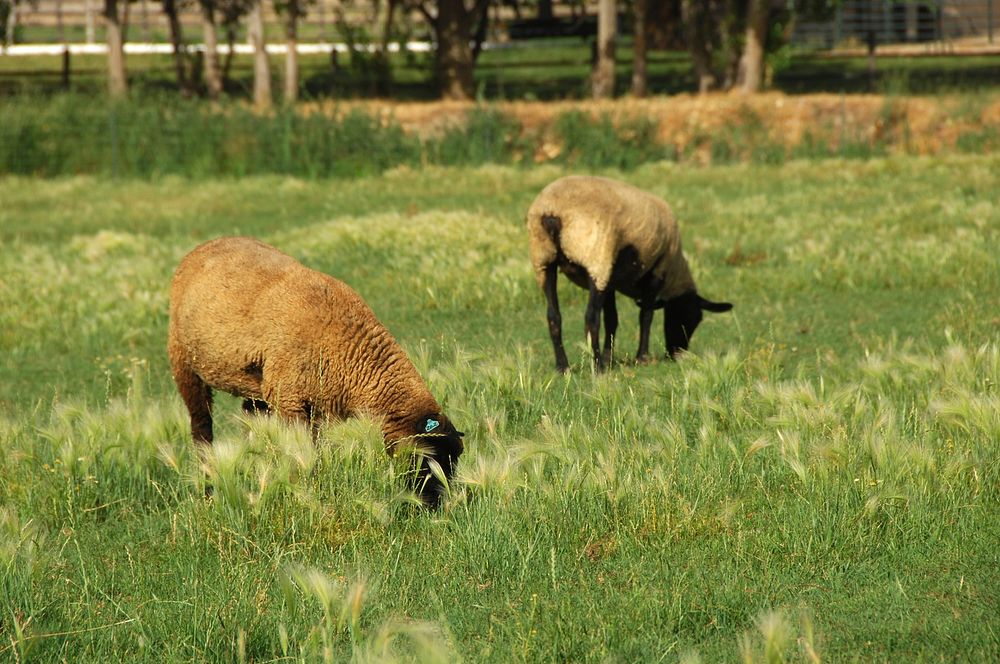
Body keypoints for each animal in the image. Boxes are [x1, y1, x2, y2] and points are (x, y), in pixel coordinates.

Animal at [170, 236, 466, 506]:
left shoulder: (316, 408)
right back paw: (207, 485)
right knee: (201, 427)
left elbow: (315, 452)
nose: (438, 505)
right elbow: (300, 453)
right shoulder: (289, 401)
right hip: (184, 363)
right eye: (426, 458)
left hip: (257, 388)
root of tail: (206, 245)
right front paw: (301, 492)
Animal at [524, 176, 736, 370]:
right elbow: (646, 316)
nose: (676, 353)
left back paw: (563, 367)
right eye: (691, 318)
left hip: (544, 261)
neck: (675, 271)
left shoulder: (610, 282)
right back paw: (597, 367)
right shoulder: (656, 273)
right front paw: (641, 357)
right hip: (596, 257)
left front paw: (609, 358)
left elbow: (612, 320)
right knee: (591, 318)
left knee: (554, 316)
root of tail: (553, 212)